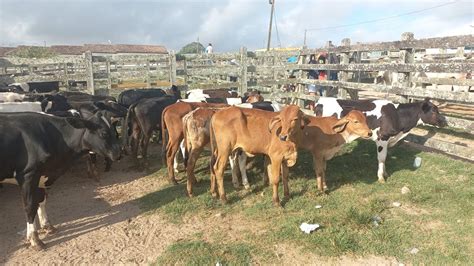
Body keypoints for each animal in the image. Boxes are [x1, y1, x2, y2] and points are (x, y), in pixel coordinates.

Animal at [0, 112, 121, 249]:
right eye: (103, 133)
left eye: (115, 132)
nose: (119, 154)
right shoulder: (28, 175)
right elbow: (30, 207)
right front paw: (34, 239)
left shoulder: (44, 175)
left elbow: (41, 201)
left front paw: (47, 226)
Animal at [314, 97, 448, 183]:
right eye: (433, 111)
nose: (445, 121)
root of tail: (320, 101)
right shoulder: (382, 138)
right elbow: (382, 158)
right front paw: (381, 177)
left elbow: (385, 157)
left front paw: (385, 173)